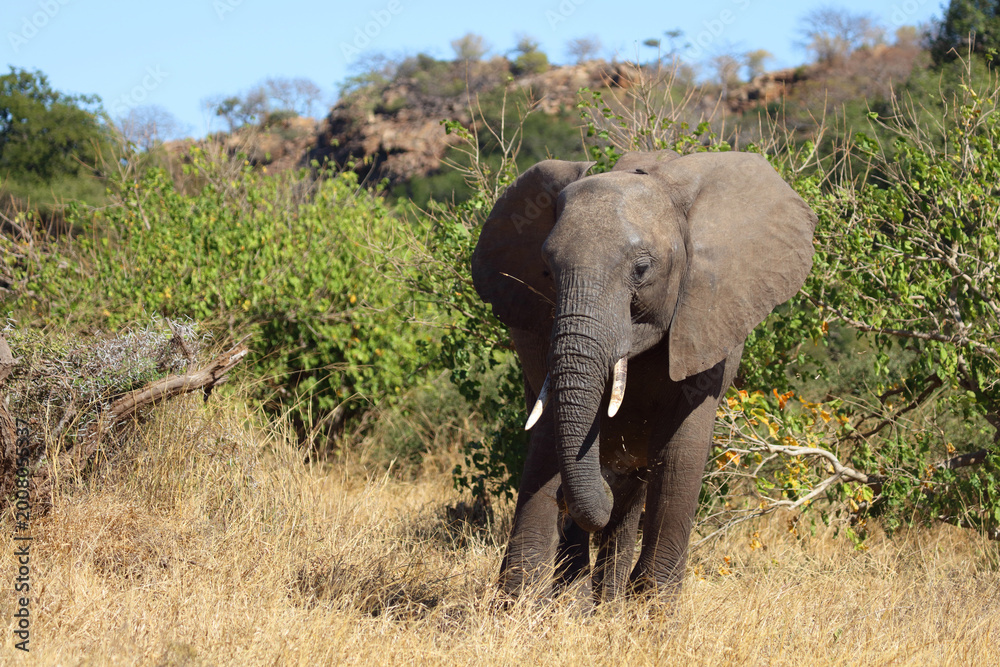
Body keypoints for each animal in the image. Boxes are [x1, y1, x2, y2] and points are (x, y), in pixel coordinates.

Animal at [470, 149, 816, 601]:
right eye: (546, 270)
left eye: (641, 269)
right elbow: (547, 437)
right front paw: (518, 606)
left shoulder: (706, 320)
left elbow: (682, 450)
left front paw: (653, 612)